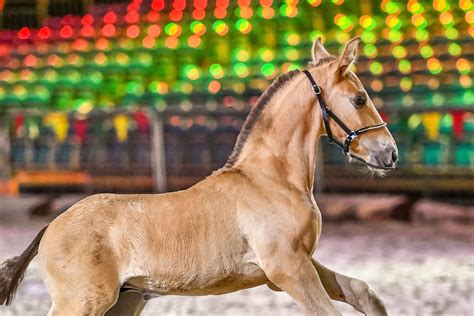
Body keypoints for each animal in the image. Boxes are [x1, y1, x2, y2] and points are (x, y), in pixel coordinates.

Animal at [0, 35, 396, 314]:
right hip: (82, 303)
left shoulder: (298, 262)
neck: (271, 180)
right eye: (360, 98)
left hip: (124, 300)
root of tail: (50, 227)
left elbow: (364, 293)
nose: (390, 153)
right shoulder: (285, 268)